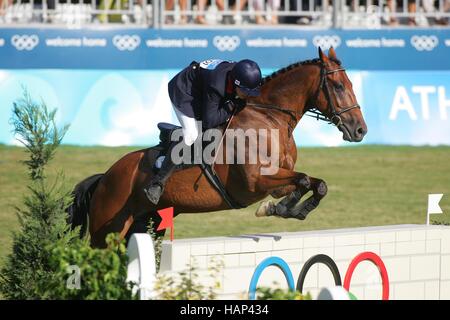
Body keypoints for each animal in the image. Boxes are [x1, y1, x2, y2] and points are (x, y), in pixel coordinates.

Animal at [67, 47, 370, 248]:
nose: (359, 130)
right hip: (106, 229)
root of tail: (106, 176)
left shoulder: (278, 180)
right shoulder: (255, 182)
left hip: (143, 223)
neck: (269, 117)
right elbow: (305, 180)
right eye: (338, 86)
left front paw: (285, 209)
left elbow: (314, 183)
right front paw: (281, 209)